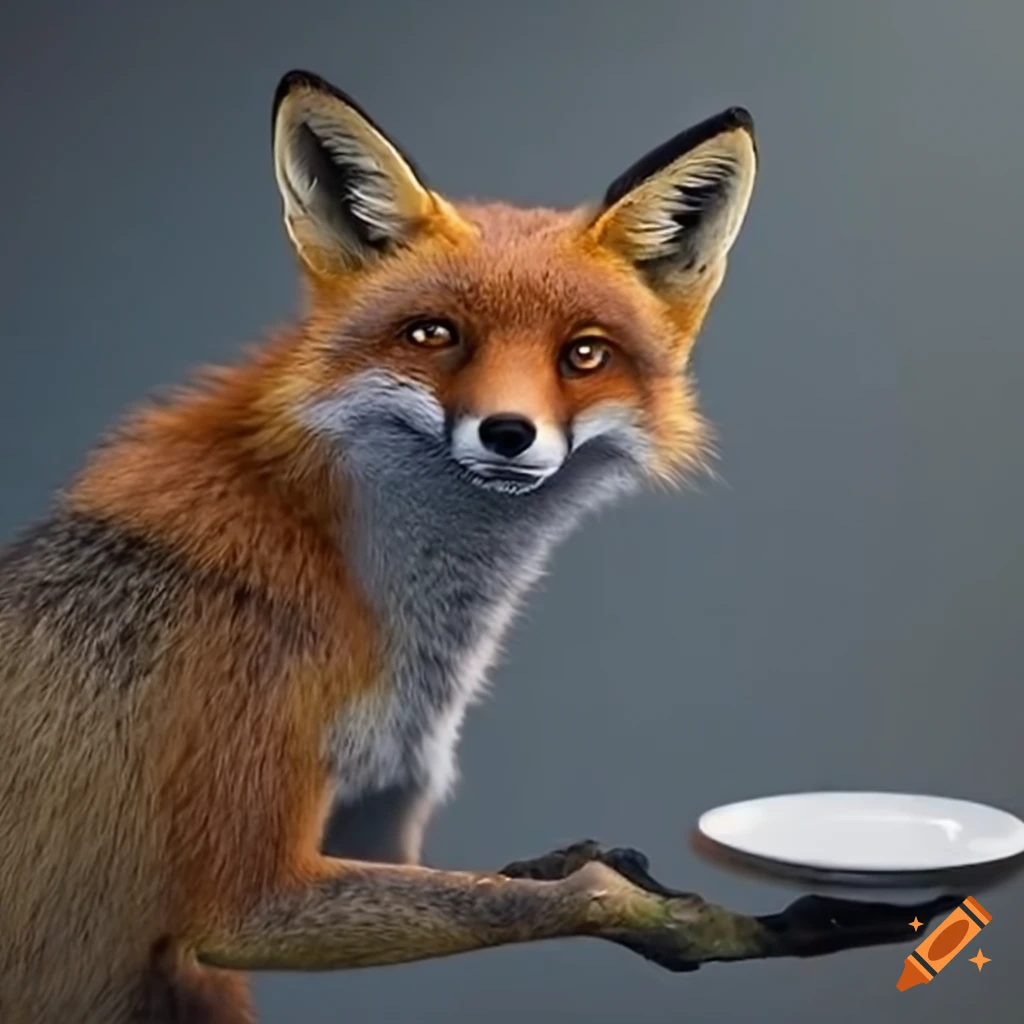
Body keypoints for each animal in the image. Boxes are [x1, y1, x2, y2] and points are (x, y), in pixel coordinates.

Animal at [0, 67, 877, 1022]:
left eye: (584, 354)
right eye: (433, 335)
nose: (508, 433)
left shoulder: (380, 820)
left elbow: (513, 881)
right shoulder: (246, 890)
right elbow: (585, 894)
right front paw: (734, 924)